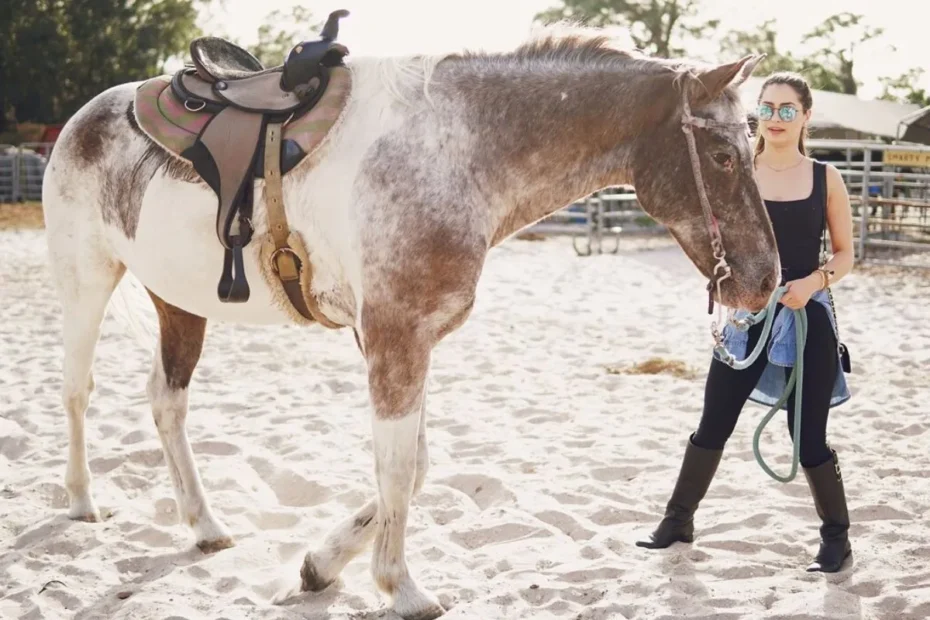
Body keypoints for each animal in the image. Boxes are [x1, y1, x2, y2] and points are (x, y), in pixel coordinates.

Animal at [40, 24, 776, 620]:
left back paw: (203, 525)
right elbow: (397, 471)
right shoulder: (394, 338)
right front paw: (400, 586)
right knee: (75, 389)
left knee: (166, 402)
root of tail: (85, 116)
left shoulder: (406, 339)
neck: (457, 151)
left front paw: (320, 565)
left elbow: (414, 468)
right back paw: (81, 500)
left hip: (179, 302)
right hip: (85, 281)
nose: (767, 278)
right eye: (723, 157)